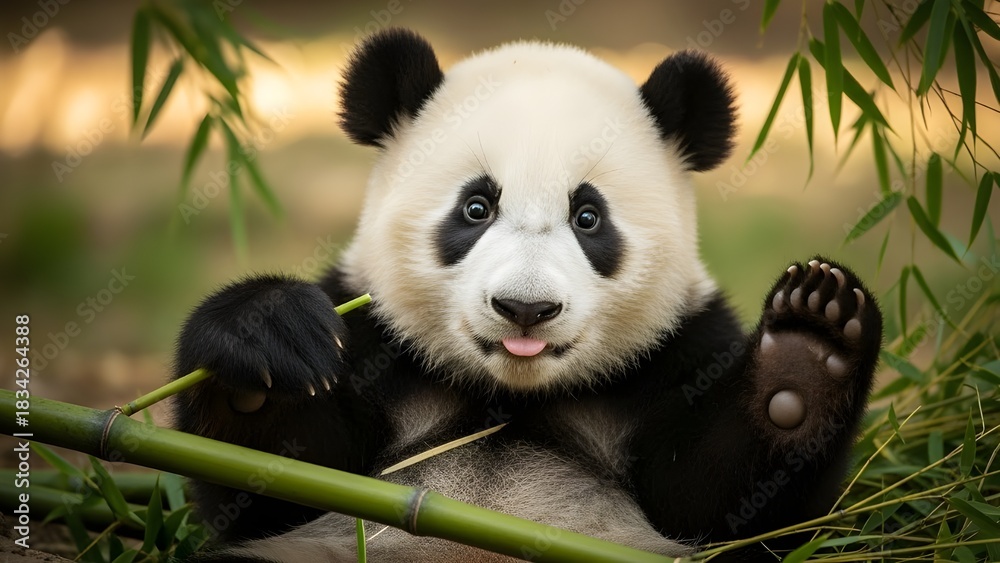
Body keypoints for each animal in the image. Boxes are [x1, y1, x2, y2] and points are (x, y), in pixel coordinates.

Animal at [173, 28, 882, 562]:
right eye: (476, 208)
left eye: (588, 218)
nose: (525, 309)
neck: (510, 394)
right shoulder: (372, 340)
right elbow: (270, 489)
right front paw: (264, 348)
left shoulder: (682, 348)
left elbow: (725, 506)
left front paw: (803, 355)